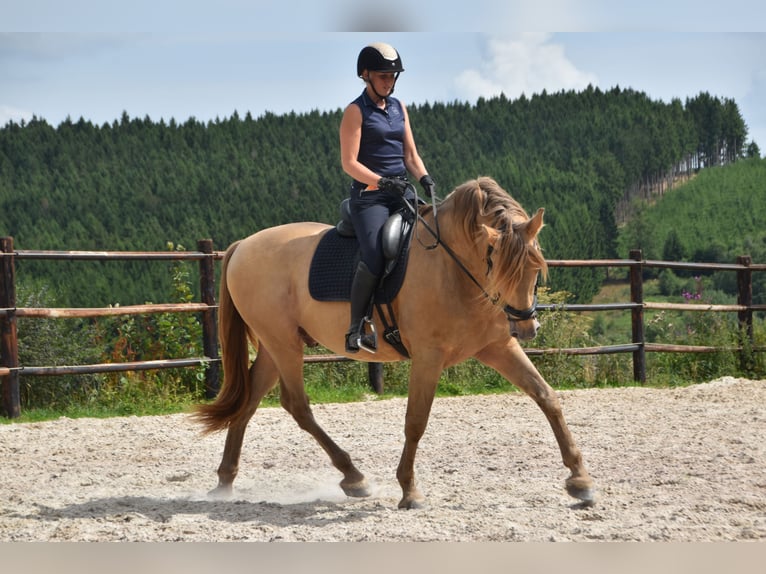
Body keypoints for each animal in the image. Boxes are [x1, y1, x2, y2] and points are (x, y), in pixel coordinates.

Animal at [194, 176, 595, 509]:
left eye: (536, 267)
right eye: (495, 264)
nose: (526, 328)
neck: (452, 269)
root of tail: (244, 245)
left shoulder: (498, 348)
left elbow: (547, 397)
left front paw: (580, 481)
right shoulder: (428, 357)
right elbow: (416, 421)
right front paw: (410, 491)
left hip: (274, 345)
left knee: (249, 402)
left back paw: (225, 482)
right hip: (284, 344)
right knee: (298, 406)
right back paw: (354, 477)